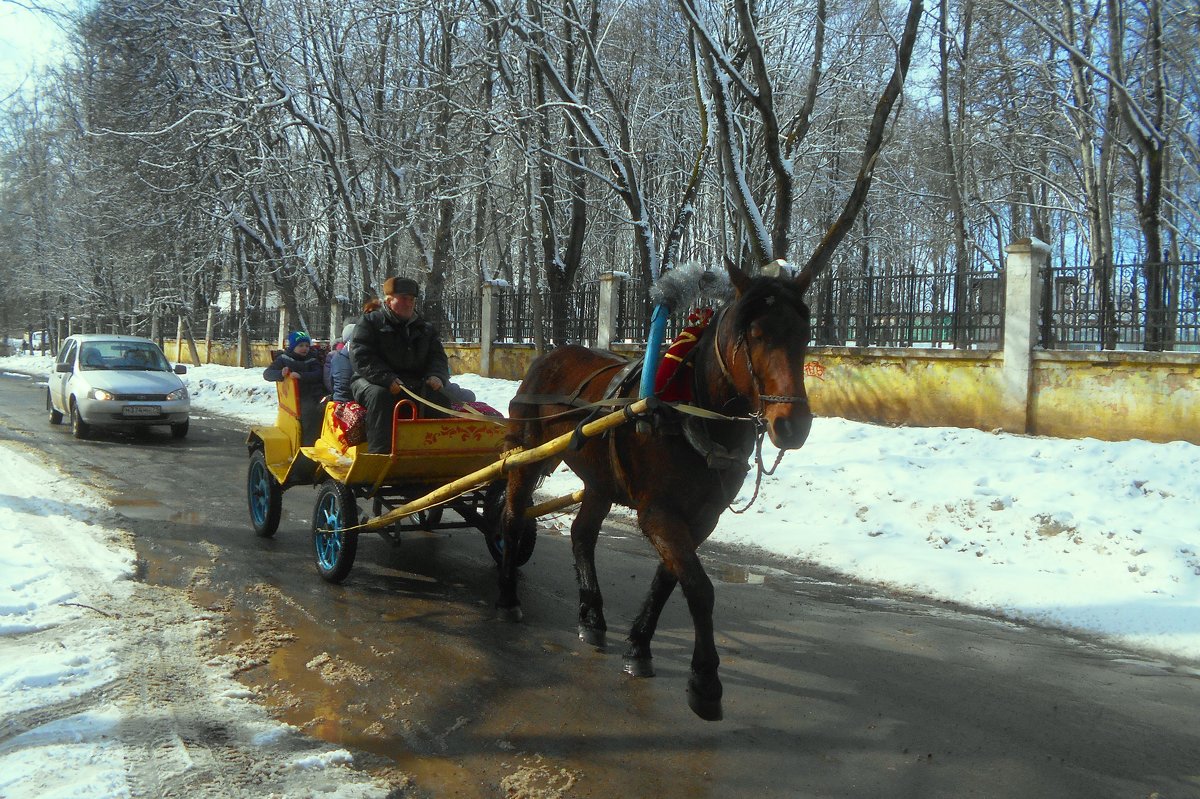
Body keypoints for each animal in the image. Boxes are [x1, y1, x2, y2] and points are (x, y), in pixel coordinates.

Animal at [496, 261, 816, 715]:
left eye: (804, 335)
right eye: (755, 334)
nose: (792, 426)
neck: (689, 409)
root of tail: (550, 356)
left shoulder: (701, 519)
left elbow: (669, 580)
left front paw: (638, 647)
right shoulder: (659, 514)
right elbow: (699, 588)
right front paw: (705, 680)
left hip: (600, 480)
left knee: (581, 535)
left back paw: (591, 616)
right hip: (526, 457)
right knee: (511, 517)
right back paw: (508, 596)